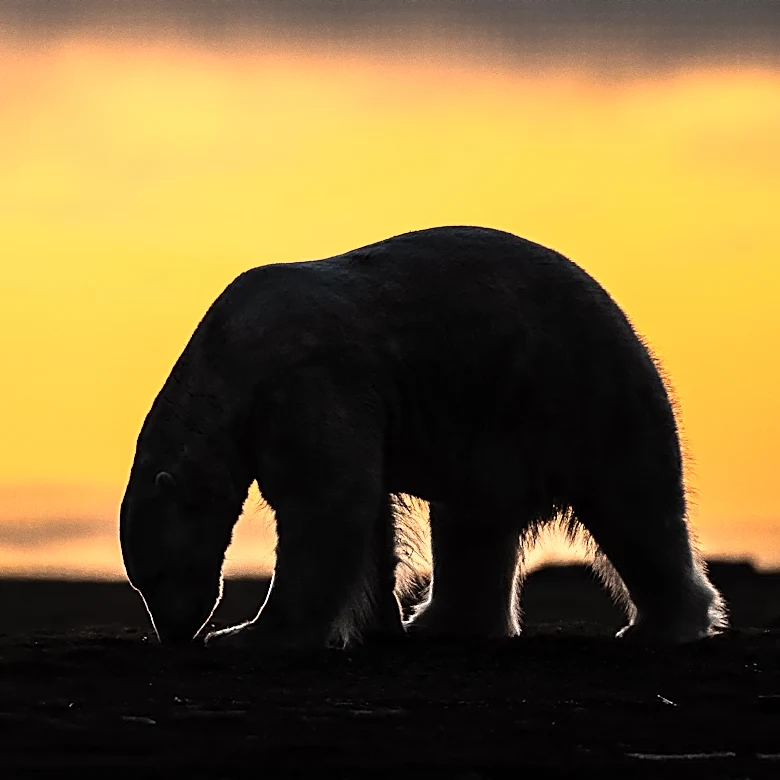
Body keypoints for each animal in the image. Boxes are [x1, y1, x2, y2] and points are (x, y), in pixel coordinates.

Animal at [119, 225, 728, 649]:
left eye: (156, 574)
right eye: (141, 584)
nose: (175, 633)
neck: (233, 354)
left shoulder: (309, 380)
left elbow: (325, 504)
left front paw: (249, 633)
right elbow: (368, 515)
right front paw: (378, 623)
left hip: (581, 394)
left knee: (633, 505)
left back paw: (661, 626)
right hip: (495, 426)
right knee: (473, 525)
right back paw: (443, 623)